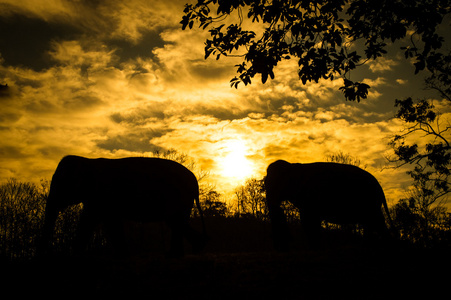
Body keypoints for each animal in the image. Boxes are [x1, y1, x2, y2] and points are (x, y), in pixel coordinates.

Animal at [38, 155, 208, 258]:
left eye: (60, 184)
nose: (46, 254)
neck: (88, 161)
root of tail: (195, 182)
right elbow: (101, 221)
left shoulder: (102, 194)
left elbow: (97, 221)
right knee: (177, 223)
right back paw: (191, 250)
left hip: (179, 197)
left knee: (176, 223)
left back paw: (177, 255)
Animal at [264, 161, 396, 250]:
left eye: (274, 183)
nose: (285, 242)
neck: (293, 166)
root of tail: (379, 186)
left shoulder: (310, 199)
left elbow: (309, 222)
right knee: (372, 225)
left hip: (370, 204)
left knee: (377, 224)